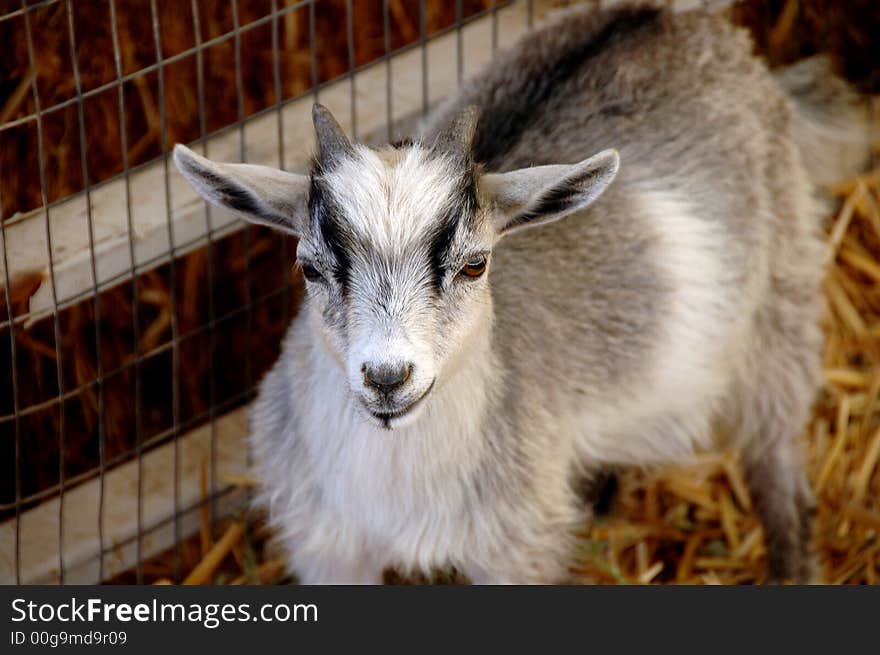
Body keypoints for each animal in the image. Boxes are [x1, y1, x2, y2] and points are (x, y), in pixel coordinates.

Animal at [172, 1, 872, 584]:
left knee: (778, 457)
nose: (388, 377)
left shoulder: (516, 546)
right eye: (310, 269)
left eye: (476, 265)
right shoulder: (327, 546)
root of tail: (673, 18)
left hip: (782, 293)